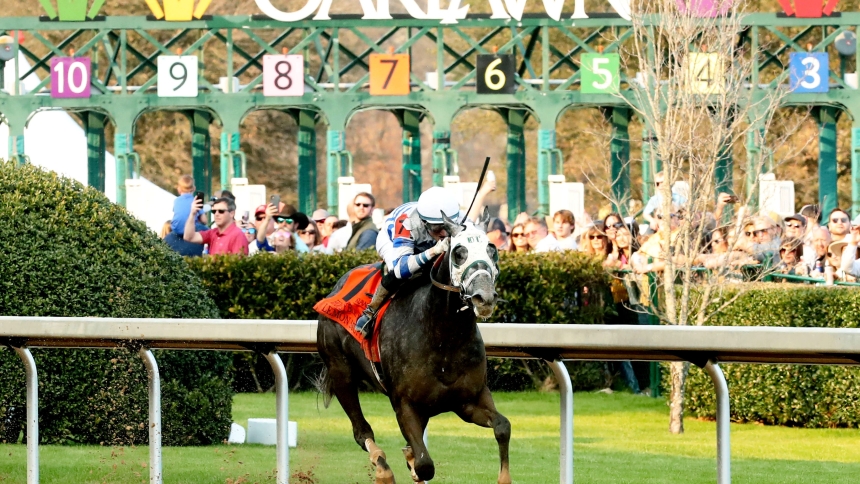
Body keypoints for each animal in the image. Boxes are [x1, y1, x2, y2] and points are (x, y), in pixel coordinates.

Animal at [320, 213, 512, 484]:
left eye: (492, 250)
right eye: (458, 252)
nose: (483, 297)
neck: (443, 337)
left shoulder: (469, 400)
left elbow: (503, 427)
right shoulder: (405, 404)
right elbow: (424, 465)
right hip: (341, 372)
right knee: (361, 431)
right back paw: (383, 469)